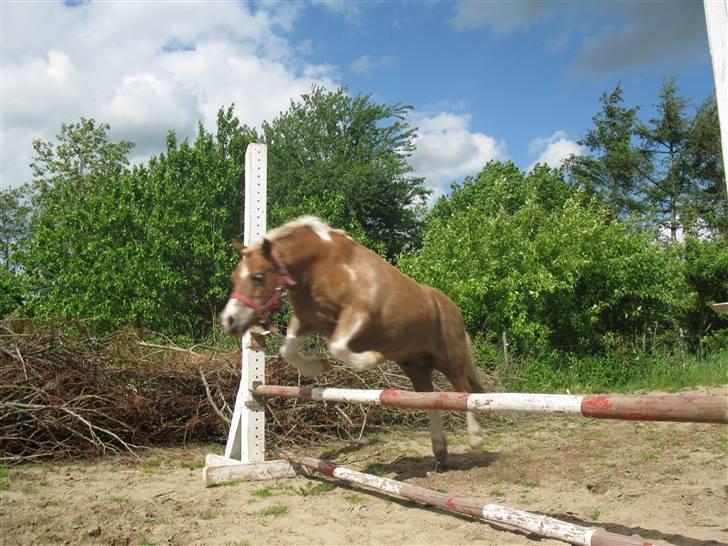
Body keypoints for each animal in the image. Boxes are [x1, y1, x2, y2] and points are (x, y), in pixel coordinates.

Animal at [222, 215, 484, 462]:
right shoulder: (306, 320)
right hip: (416, 367)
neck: (322, 266)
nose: (229, 321)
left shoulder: (357, 314)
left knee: (464, 393)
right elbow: (288, 351)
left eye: (257, 277)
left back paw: (475, 440)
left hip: (450, 360)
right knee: (432, 400)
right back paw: (440, 450)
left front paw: (372, 358)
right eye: (235, 277)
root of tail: (450, 307)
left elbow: (336, 346)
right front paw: (318, 368)